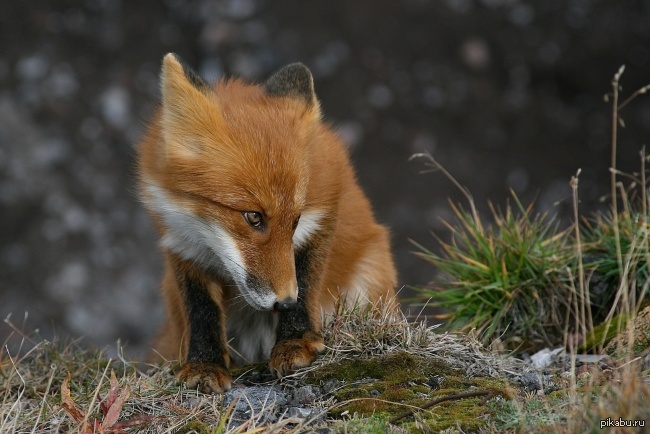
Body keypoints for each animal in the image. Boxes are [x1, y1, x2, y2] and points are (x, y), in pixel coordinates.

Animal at [137, 51, 394, 394]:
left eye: (295, 220)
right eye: (253, 216)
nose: (283, 303)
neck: (204, 230)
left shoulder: (324, 212)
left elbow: (306, 282)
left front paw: (296, 342)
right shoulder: (181, 244)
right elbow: (201, 310)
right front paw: (205, 365)